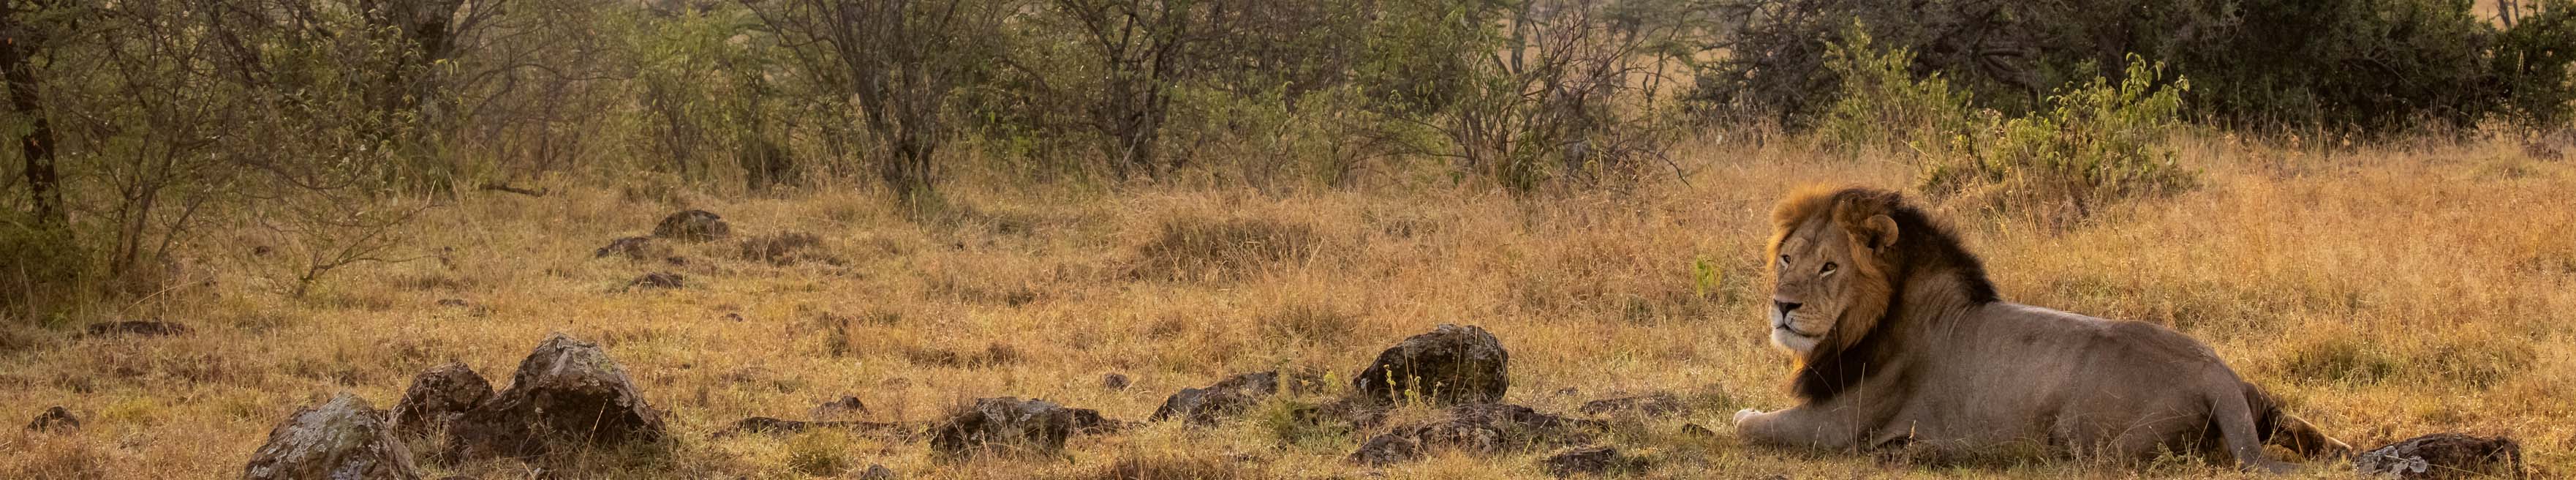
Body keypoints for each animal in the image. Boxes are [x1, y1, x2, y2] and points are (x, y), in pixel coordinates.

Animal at [1731, 185, 2360, 469]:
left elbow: (1748, 427)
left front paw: (1741, 415)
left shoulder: (1838, 426)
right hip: (2260, 400)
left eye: (1828, 267)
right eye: (1786, 258)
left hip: (2083, 442)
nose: (1782, 306)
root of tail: (2217, 377)